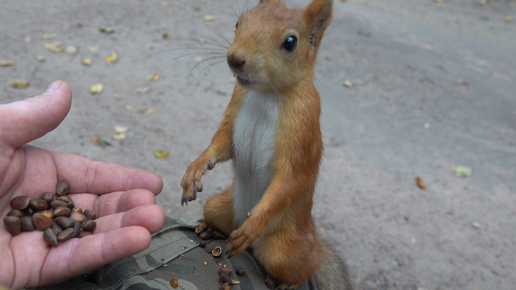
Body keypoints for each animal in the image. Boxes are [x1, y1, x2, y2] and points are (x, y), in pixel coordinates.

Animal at [179, 0, 352, 288]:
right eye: (239, 22)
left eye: (291, 42)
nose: (234, 59)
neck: (266, 93)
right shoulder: (235, 110)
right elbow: (221, 144)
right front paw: (195, 168)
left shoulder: (302, 132)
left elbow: (289, 179)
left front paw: (253, 224)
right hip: (219, 207)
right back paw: (211, 228)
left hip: (280, 251)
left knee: (307, 264)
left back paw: (288, 279)